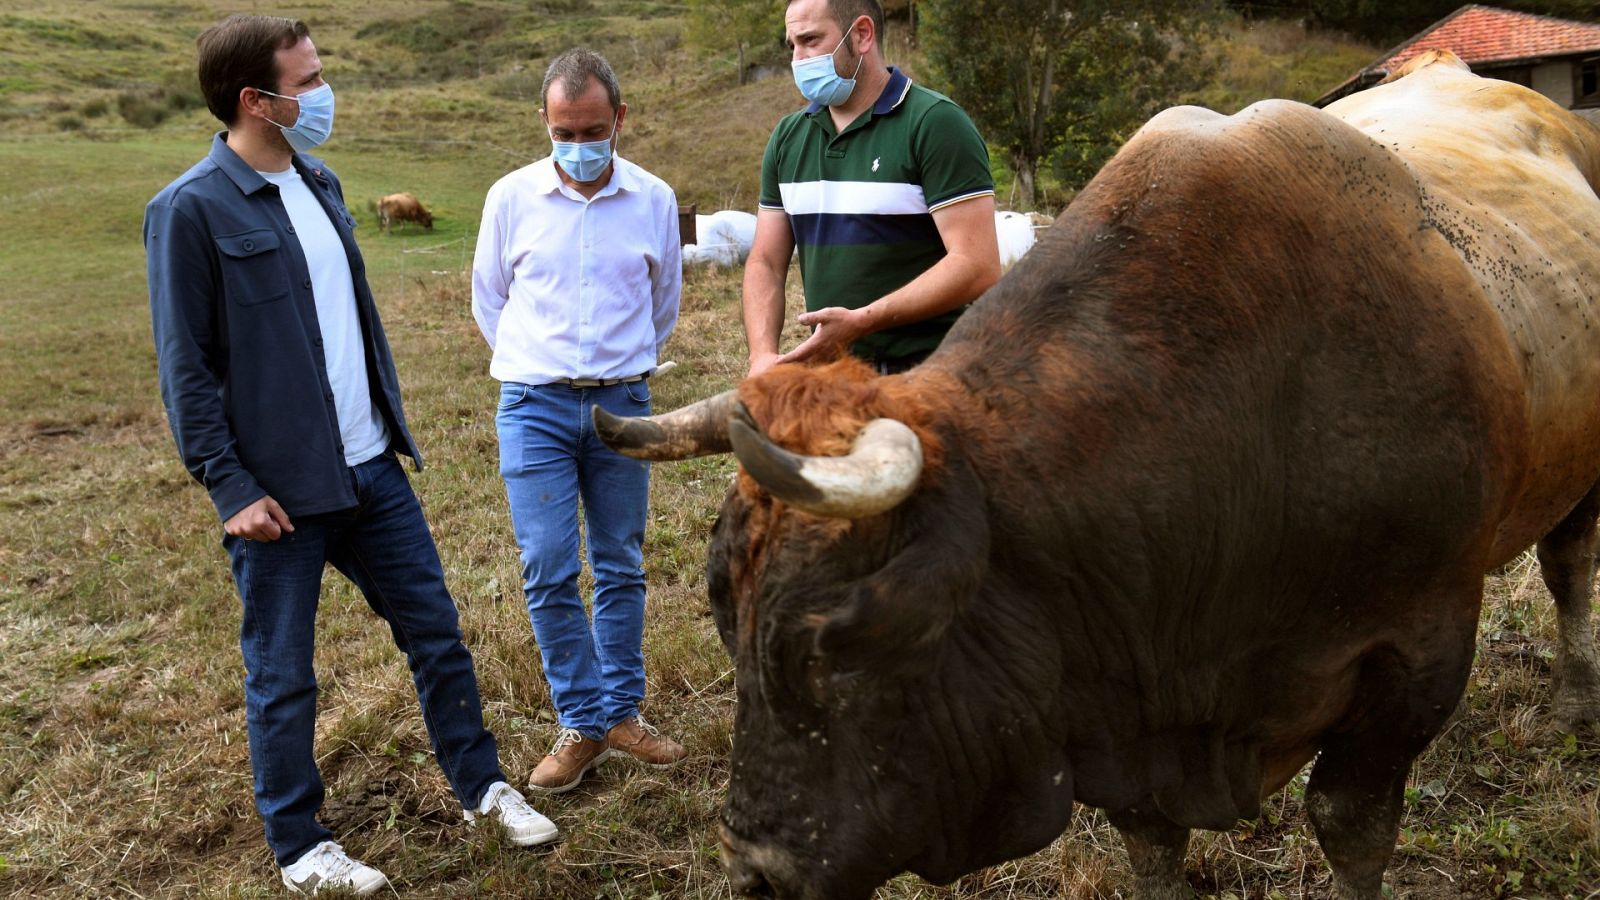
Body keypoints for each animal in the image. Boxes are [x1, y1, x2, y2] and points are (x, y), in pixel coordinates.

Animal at [592, 50, 1600, 896]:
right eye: (724, 616)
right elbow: (1152, 841)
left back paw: (1574, 698)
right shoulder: (1117, 694)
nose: (755, 871)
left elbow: (1350, 825)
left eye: (829, 643)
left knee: (1568, 568)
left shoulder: (1420, 651)